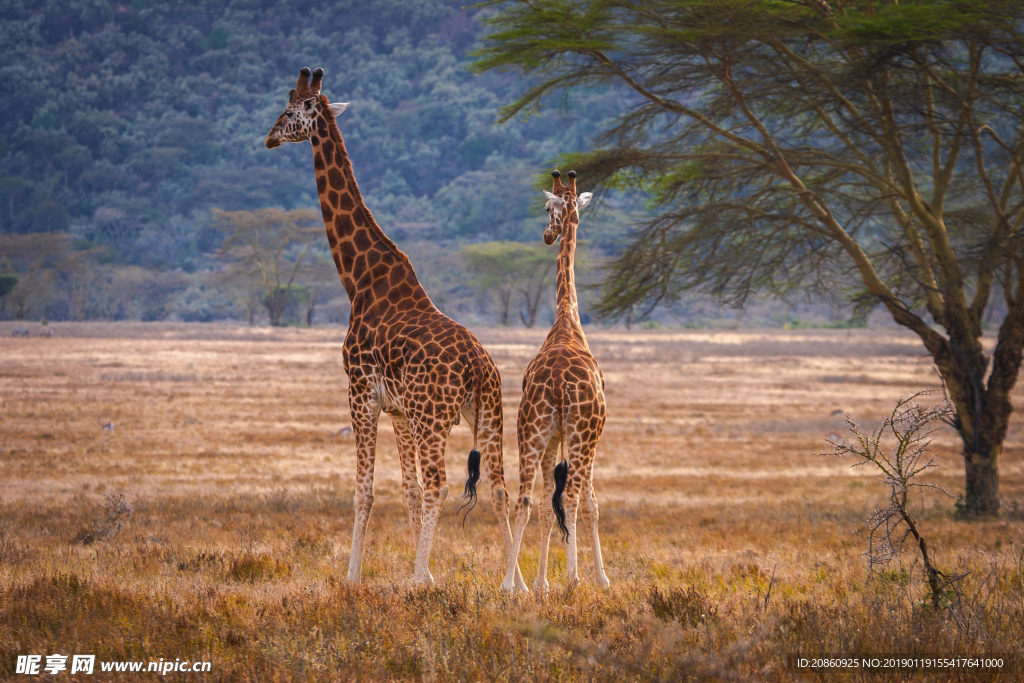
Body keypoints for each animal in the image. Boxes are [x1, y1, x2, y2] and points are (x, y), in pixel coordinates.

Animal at [268, 66, 524, 589]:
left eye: (288, 110)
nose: (267, 138)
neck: (359, 279)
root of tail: (478, 366)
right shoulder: (399, 411)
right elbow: (405, 489)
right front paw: (421, 569)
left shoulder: (361, 392)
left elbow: (365, 491)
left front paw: (358, 577)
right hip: (487, 413)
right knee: (498, 487)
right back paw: (514, 583)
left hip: (435, 417)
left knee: (439, 484)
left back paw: (422, 579)